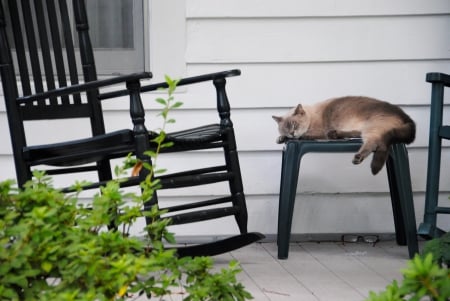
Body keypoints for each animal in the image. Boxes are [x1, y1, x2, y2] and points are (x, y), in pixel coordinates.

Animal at [270, 96, 414, 175]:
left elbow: (306, 135)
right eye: (285, 129)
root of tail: (406, 116)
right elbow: (284, 138)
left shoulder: (318, 132)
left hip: (372, 127)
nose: (292, 133)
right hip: (364, 128)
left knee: (377, 143)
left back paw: (359, 158)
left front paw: (299, 136)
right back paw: (335, 134)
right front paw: (281, 138)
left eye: (294, 125)